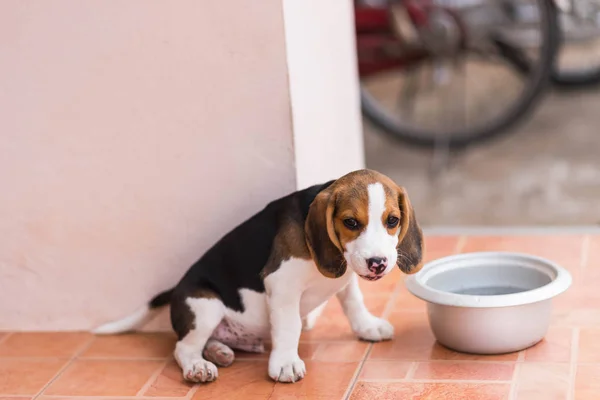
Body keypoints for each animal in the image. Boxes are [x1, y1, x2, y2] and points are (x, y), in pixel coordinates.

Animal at [94, 167, 424, 382]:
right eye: (351, 222)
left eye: (392, 220)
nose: (378, 263)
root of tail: (176, 289)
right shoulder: (281, 284)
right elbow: (289, 326)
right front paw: (286, 364)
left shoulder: (345, 279)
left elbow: (353, 302)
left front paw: (367, 327)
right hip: (205, 306)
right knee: (183, 347)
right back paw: (199, 367)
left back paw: (219, 352)